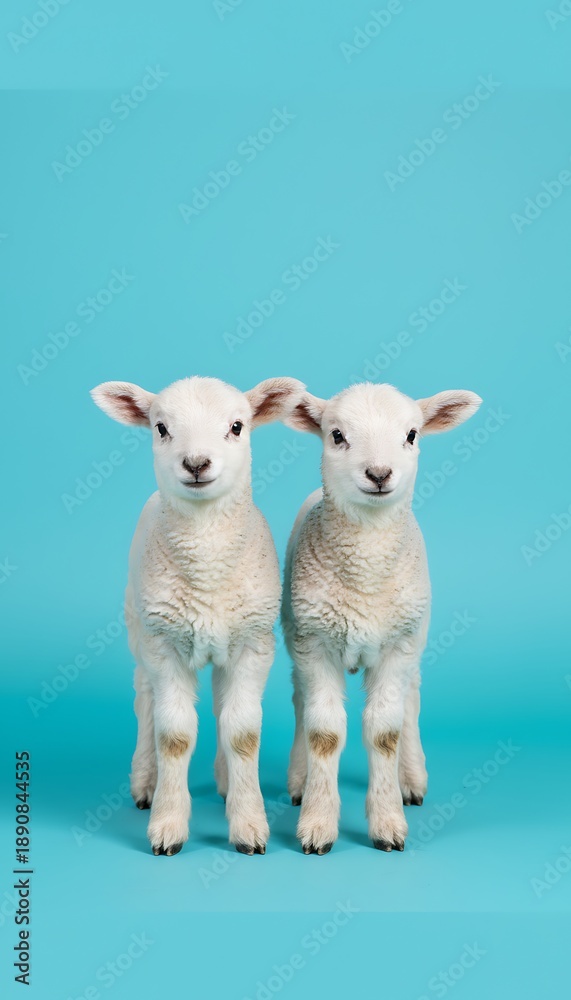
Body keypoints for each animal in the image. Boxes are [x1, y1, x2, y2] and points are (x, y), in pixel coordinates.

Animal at [90, 374, 304, 857]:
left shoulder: (252, 643)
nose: (196, 463)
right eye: (161, 428)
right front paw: (168, 824)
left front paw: (248, 824)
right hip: (139, 626)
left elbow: (242, 732)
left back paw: (225, 782)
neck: (207, 566)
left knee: (224, 705)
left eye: (238, 427)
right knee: (145, 700)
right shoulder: (164, 645)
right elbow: (174, 735)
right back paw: (145, 783)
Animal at [281, 382, 482, 855]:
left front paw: (388, 822)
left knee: (410, 701)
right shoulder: (315, 644)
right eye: (336, 435)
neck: (366, 575)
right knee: (301, 702)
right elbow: (324, 732)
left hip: (414, 635)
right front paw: (317, 822)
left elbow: (384, 733)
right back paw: (298, 780)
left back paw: (411, 779)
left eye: (411, 435)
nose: (378, 474)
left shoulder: (398, 645)